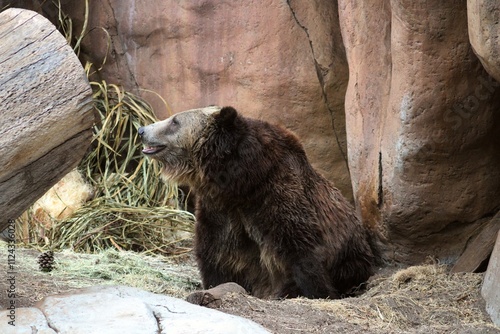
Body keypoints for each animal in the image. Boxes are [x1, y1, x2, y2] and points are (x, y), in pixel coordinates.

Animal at [138, 105, 378, 298]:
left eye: (175, 121)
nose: (142, 130)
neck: (237, 183)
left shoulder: (274, 195)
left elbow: (301, 248)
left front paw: (316, 291)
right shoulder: (217, 209)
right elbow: (214, 254)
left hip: (351, 254)